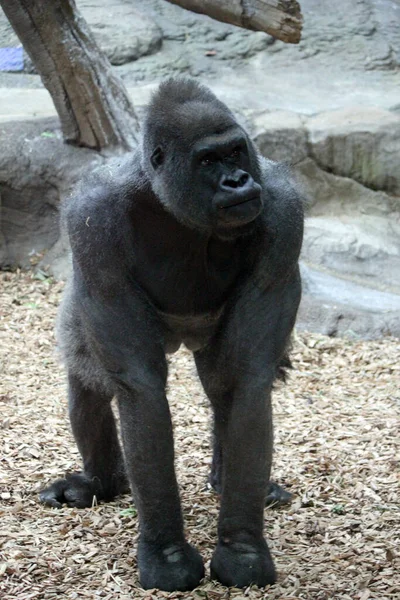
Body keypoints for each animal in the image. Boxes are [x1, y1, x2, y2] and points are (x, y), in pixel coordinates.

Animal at [40, 78, 304, 592]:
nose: (237, 181)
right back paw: (100, 482)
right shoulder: (91, 217)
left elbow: (246, 382)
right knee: (90, 378)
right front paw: (165, 553)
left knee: (223, 388)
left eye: (236, 152)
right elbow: (139, 389)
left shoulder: (284, 210)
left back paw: (228, 480)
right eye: (208, 161)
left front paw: (241, 549)